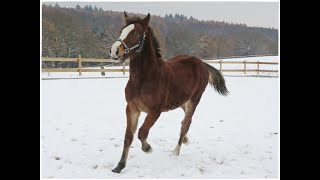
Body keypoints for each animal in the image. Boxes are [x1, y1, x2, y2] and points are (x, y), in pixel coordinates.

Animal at [109, 11, 228, 173]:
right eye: (121, 30)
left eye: (135, 33)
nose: (114, 51)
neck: (143, 79)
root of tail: (202, 63)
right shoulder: (132, 109)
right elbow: (128, 136)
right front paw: (119, 166)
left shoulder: (155, 110)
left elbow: (142, 132)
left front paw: (148, 148)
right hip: (181, 100)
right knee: (184, 120)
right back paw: (185, 139)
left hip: (194, 99)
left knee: (186, 123)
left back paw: (176, 150)